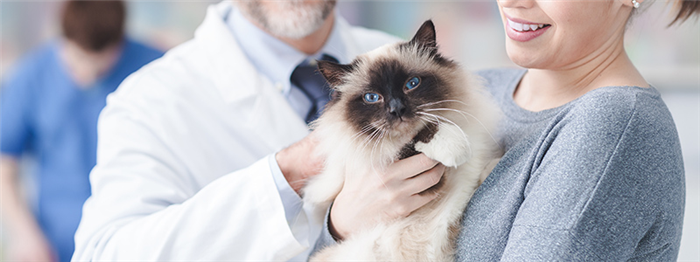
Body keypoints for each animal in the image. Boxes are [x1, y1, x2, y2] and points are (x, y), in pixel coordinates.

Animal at [304, 20, 498, 260]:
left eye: (411, 84)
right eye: (372, 97)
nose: (397, 110)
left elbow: (484, 166)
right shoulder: (385, 159)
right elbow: (412, 140)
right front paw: (457, 148)